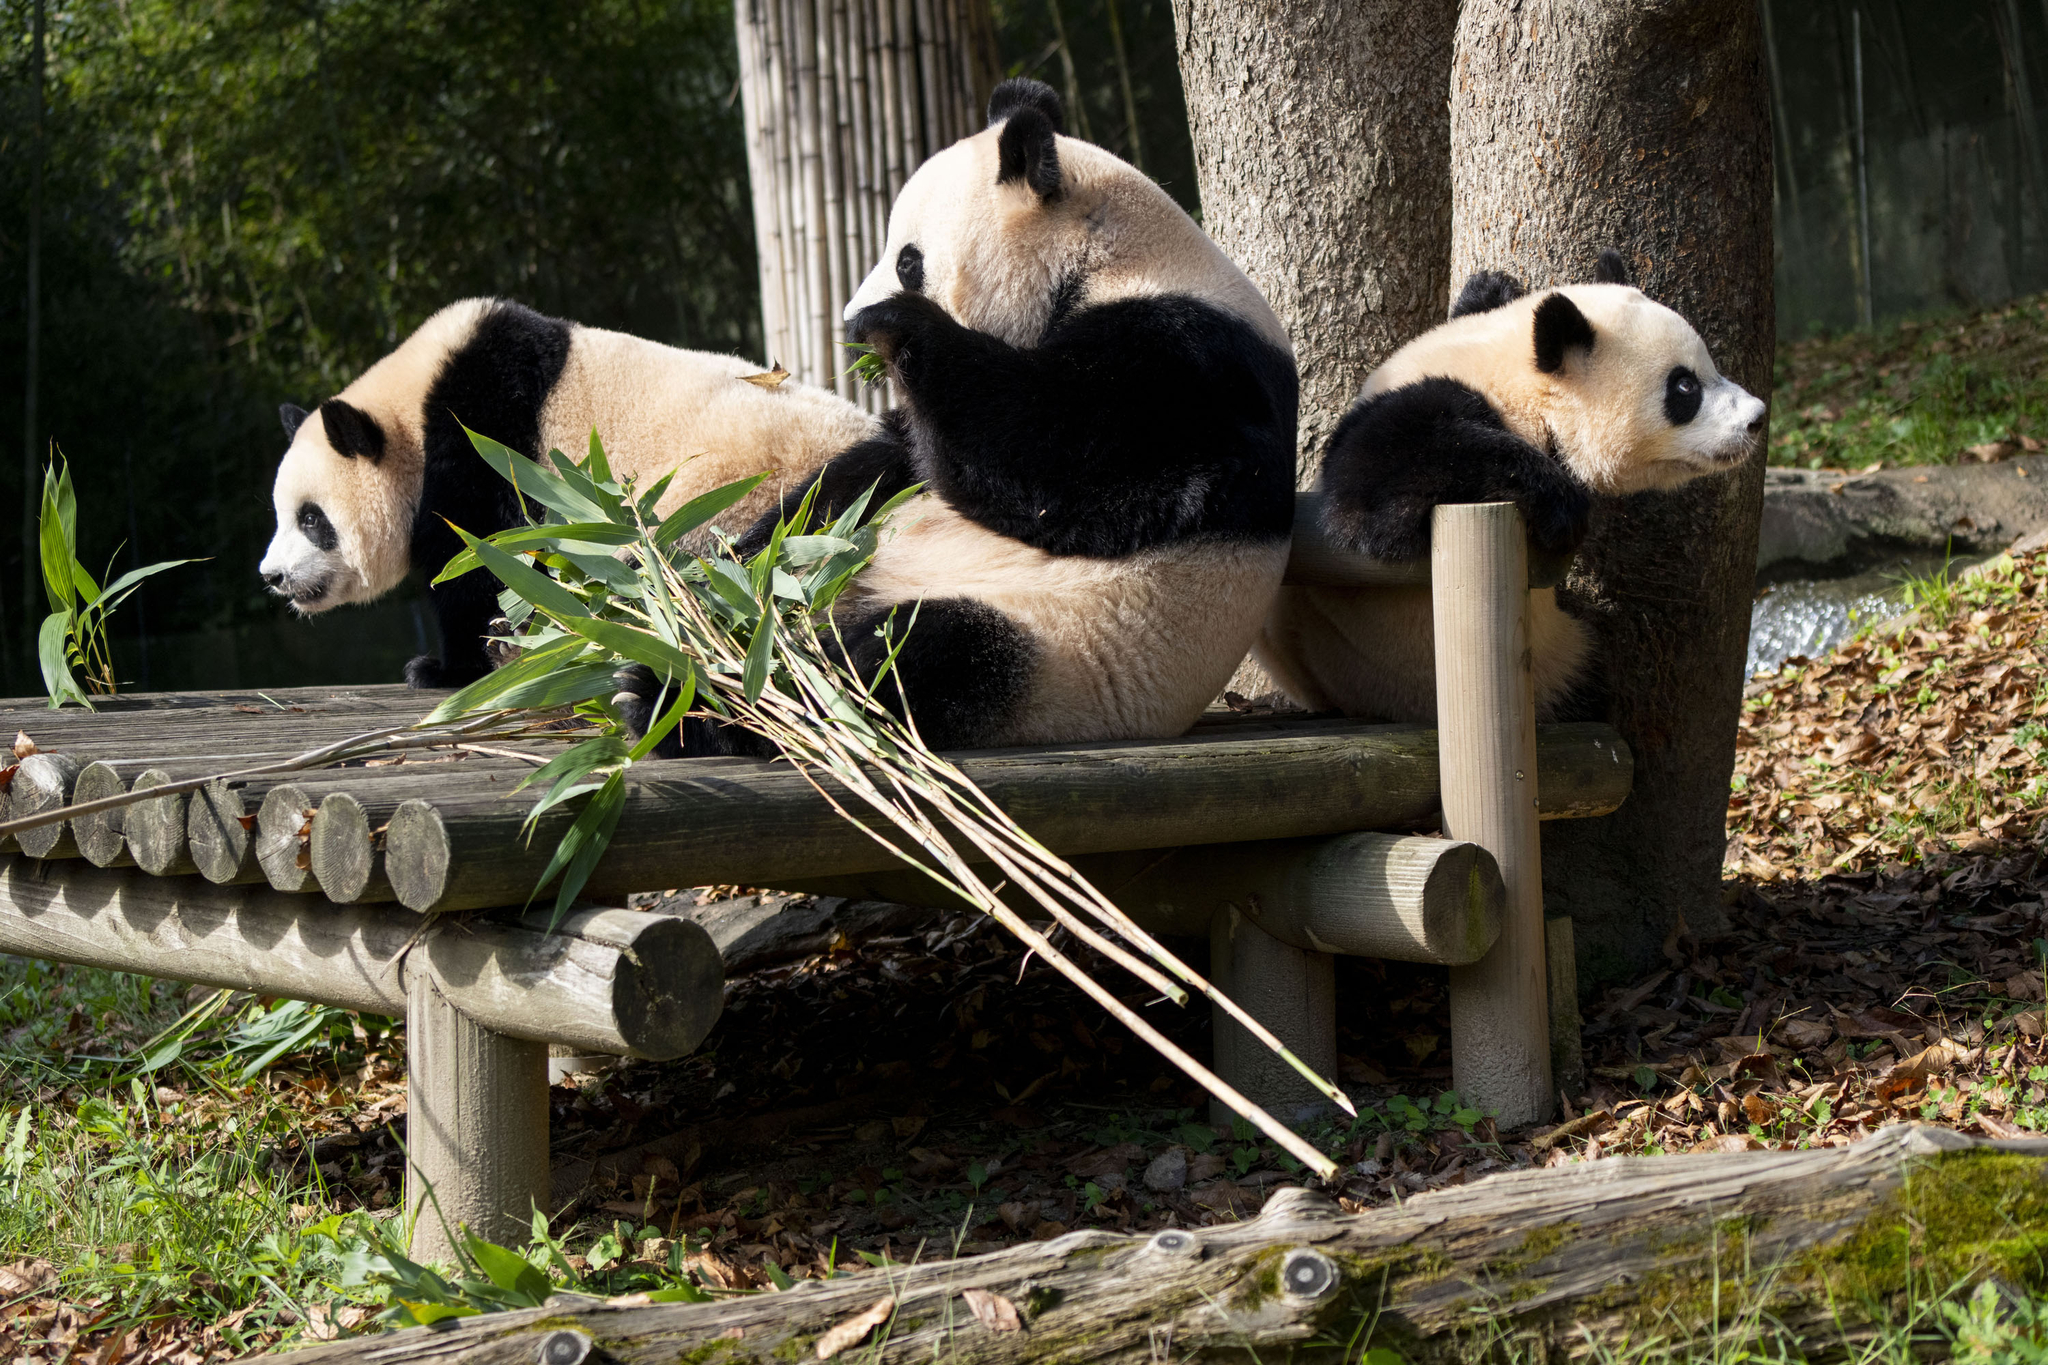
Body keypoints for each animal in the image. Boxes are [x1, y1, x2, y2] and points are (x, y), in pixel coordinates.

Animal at [258, 296, 872, 683]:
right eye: (285, 516)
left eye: (311, 519)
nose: (273, 576)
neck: (411, 405)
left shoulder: (479, 434)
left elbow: (478, 560)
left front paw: (443, 669)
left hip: (727, 498)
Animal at [1253, 252, 1769, 732]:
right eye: (1684, 387)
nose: (1757, 418)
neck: (1515, 380)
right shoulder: (1403, 417)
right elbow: (1368, 500)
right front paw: (1562, 504)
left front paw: (1488, 285)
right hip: (1520, 666)